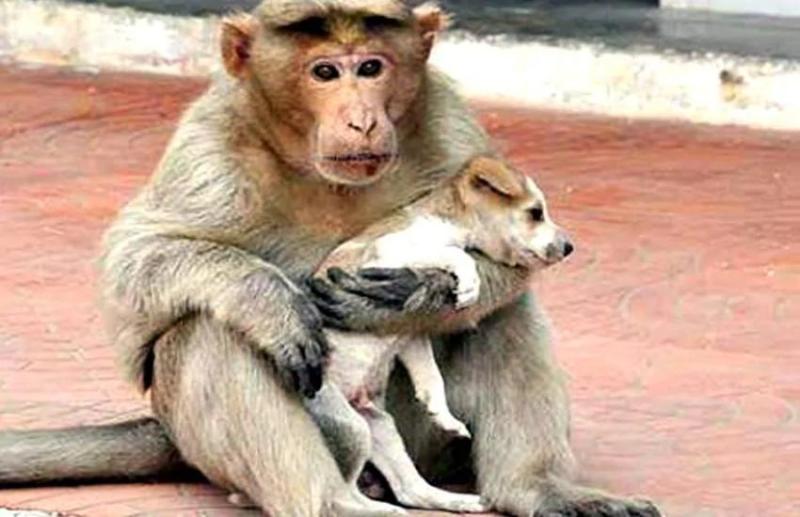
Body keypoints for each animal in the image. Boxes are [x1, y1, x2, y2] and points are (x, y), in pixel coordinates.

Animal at [0, 2, 660, 516]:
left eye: (370, 67)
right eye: (324, 72)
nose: (361, 119)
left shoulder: (450, 119)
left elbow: (495, 281)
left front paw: (412, 297)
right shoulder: (211, 143)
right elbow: (137, 264)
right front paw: (274, 303)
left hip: (405, 434)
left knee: (502, 315)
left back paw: (533, 490)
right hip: (276, 429)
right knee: (209, 329)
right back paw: (333, 500)